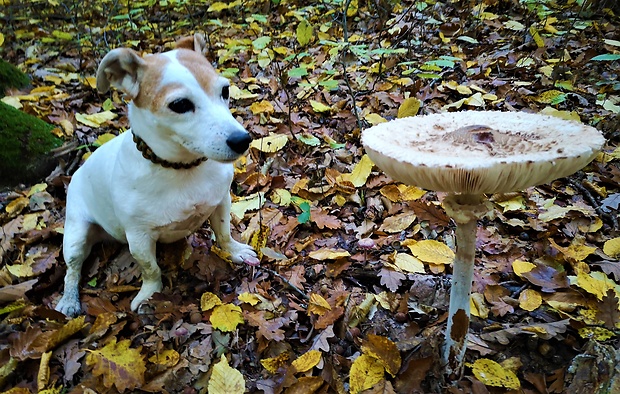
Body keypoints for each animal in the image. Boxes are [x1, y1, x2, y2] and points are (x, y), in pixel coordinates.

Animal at [56, 34, 260, 318]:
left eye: (225, 91)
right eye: (180, 105)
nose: (242, 140)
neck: (182, 169)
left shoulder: (221, 202)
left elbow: (224, 234)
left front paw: (234, 251)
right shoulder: (139, 238)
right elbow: (150, 269)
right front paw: (150, 294)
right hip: (75, 236)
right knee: (72, 270)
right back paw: (69, 299)